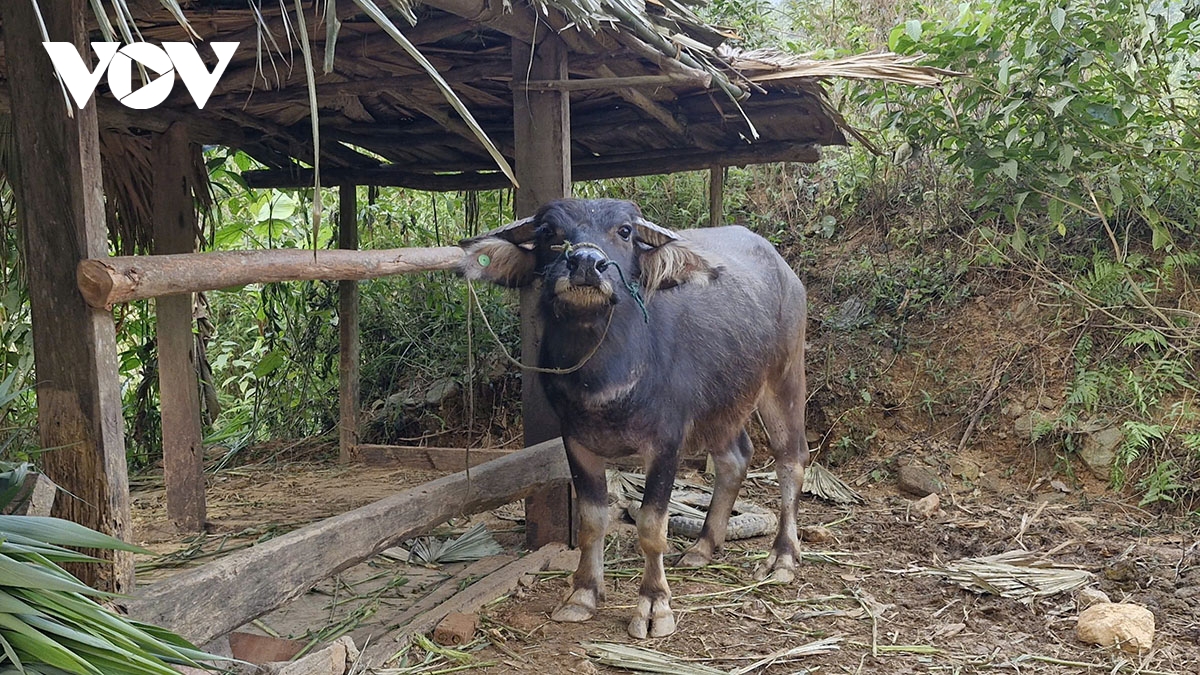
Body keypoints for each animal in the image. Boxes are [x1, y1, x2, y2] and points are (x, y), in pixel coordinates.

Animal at [458, 198, 816, 634]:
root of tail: (786, 272)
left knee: (790, 461)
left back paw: (782, 557)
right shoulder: (576, 442)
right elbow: (593, 520)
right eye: (548, 231)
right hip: (721, 403)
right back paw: (703, 546)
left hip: (785, 378)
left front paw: (654, 605)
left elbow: (651, 525)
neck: (603, 373)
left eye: (625, 231)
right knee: (736, 458)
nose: (586, 263)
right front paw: (582, 593)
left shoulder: (666, 443)